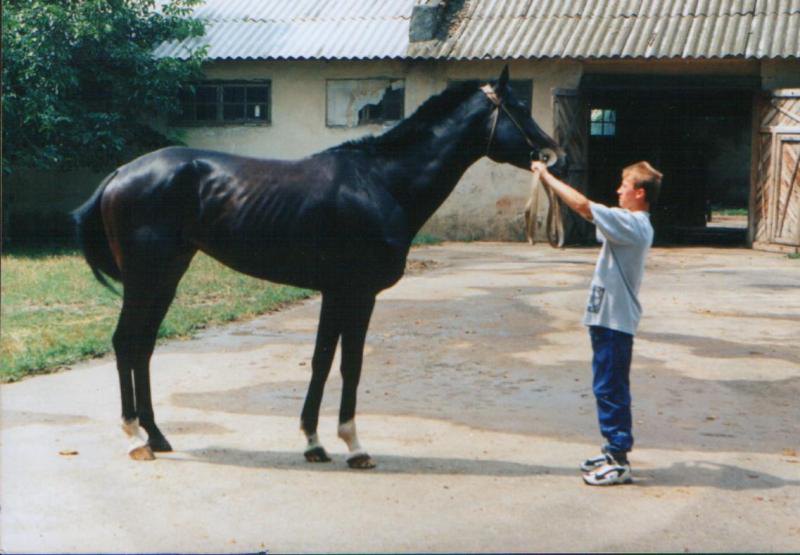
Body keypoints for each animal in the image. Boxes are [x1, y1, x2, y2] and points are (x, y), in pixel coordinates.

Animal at [73, 68, 564, 470]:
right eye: (519, 106)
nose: (552, 153)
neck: (381, 182)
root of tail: (119, 174)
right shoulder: (357, 293)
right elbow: (349, 364)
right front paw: (354, 446)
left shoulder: (336, 292)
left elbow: (322, 360)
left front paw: (313, 441)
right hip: (145, 278)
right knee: (126, 342)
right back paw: (135, 438)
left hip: (167, 277)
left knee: (143, 346)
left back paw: (156, 435)